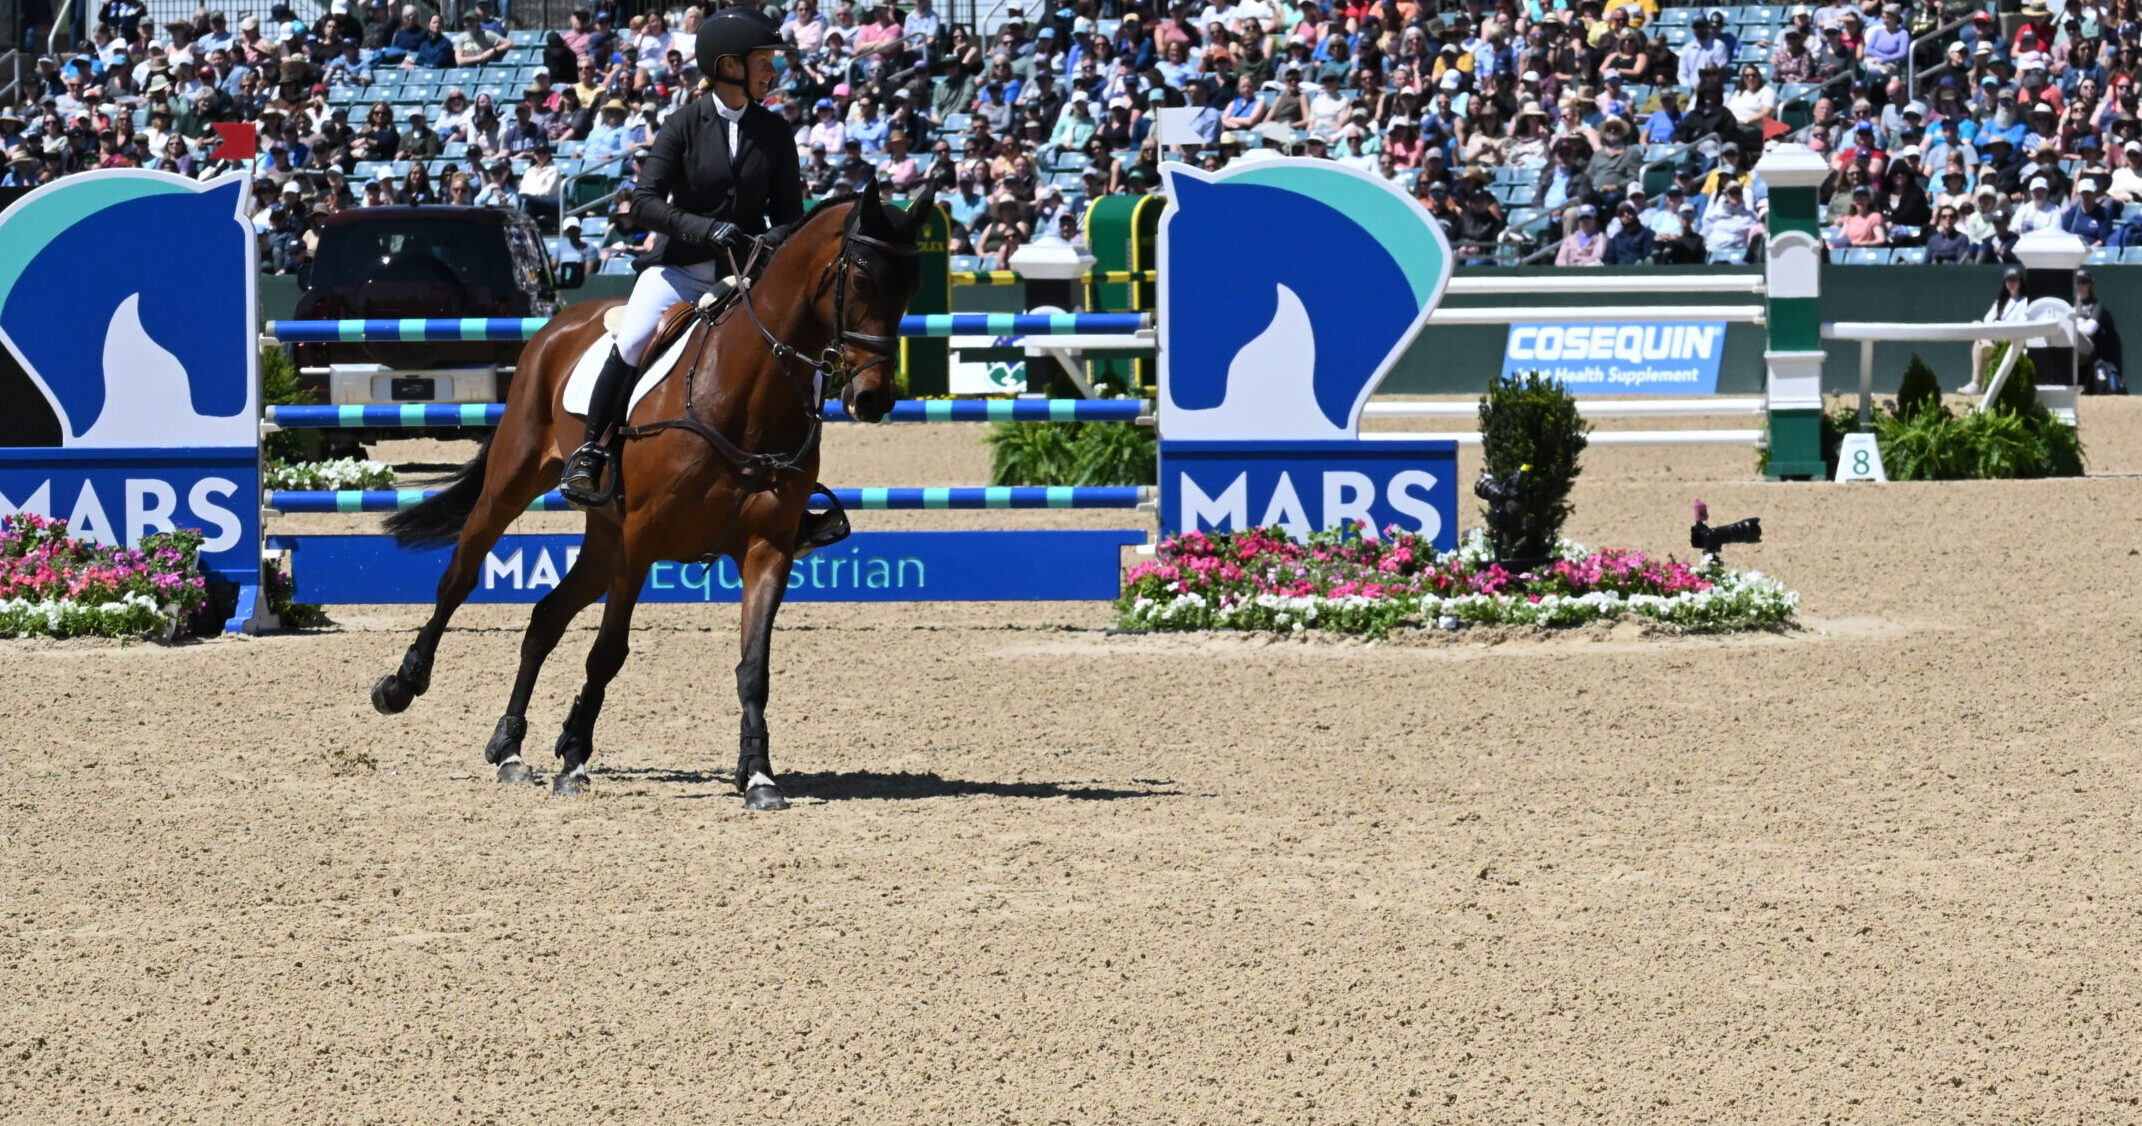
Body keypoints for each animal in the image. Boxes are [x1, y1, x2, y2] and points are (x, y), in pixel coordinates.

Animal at [366, 182, 934, 810]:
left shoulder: (768, 548)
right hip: (516, 488)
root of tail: (560, 322)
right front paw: (573, 760)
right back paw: (402, 685)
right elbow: (608, 652)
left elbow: (753, 666)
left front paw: (758, 775)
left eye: (910, 286)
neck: (745, 395)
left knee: (545, 618)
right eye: (860, 280)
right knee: (459, 579)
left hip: (604, 537)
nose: (873, 399)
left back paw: (509, 750)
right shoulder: (642, 541)